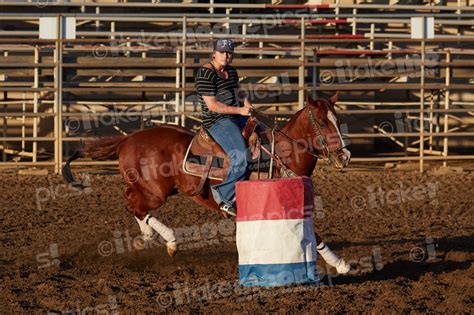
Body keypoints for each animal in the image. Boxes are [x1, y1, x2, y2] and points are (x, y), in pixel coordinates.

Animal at [63, 94, 352, 274]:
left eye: (339, 120)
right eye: (323, 122)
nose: (345, 156)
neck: (280, 154)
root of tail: (128, 138)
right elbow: (313, 234)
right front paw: (341, 264)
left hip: (149, 188)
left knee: (131, 201)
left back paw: (148, 237)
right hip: (156, 193)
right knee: (134, 206)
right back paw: (170, 241)